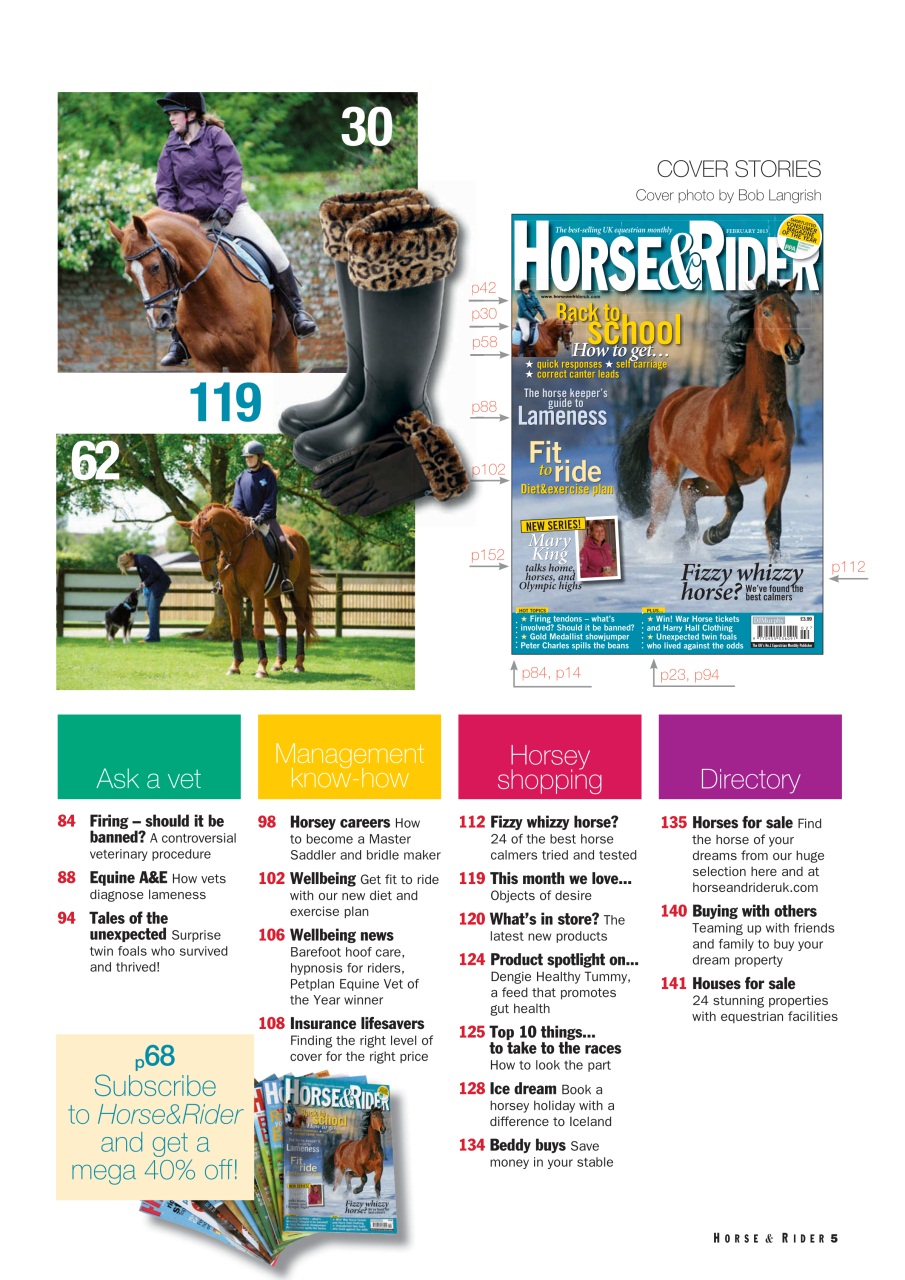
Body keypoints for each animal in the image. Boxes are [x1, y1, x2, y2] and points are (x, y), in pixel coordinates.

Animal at [108, 208, 299, 372]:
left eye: (155, 267)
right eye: (129, 273)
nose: (157, 320)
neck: (213, 299)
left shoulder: (257, 359)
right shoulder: (206, 363)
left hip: (285, 349)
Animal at [178, 503, 318, 678]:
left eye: (209, 542)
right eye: (193, 543)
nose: (209, 575)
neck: (237, 549)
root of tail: (300, 538)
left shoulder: (256, 594)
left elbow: (258, 629)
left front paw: (261, 668)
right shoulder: (230, 595)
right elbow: (235, 630)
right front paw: (235, 666)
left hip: (298, 590)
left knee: (300, 622)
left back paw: (298, 664)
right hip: (272, 595)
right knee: (281, 621)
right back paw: (278, 663)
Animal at [616, 276, 804, 560]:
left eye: (795, 310)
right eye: (767, 311)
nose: (794, 349)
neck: (759, 413)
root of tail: (663, 407)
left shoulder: (779, 468)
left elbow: (773, 523)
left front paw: (776, 563)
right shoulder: (719, 463)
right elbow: (736, 500)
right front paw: (713, 534)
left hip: (718, 478)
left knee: (688, 489)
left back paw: (684, 542)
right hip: (667, 471)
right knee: (656, 522)